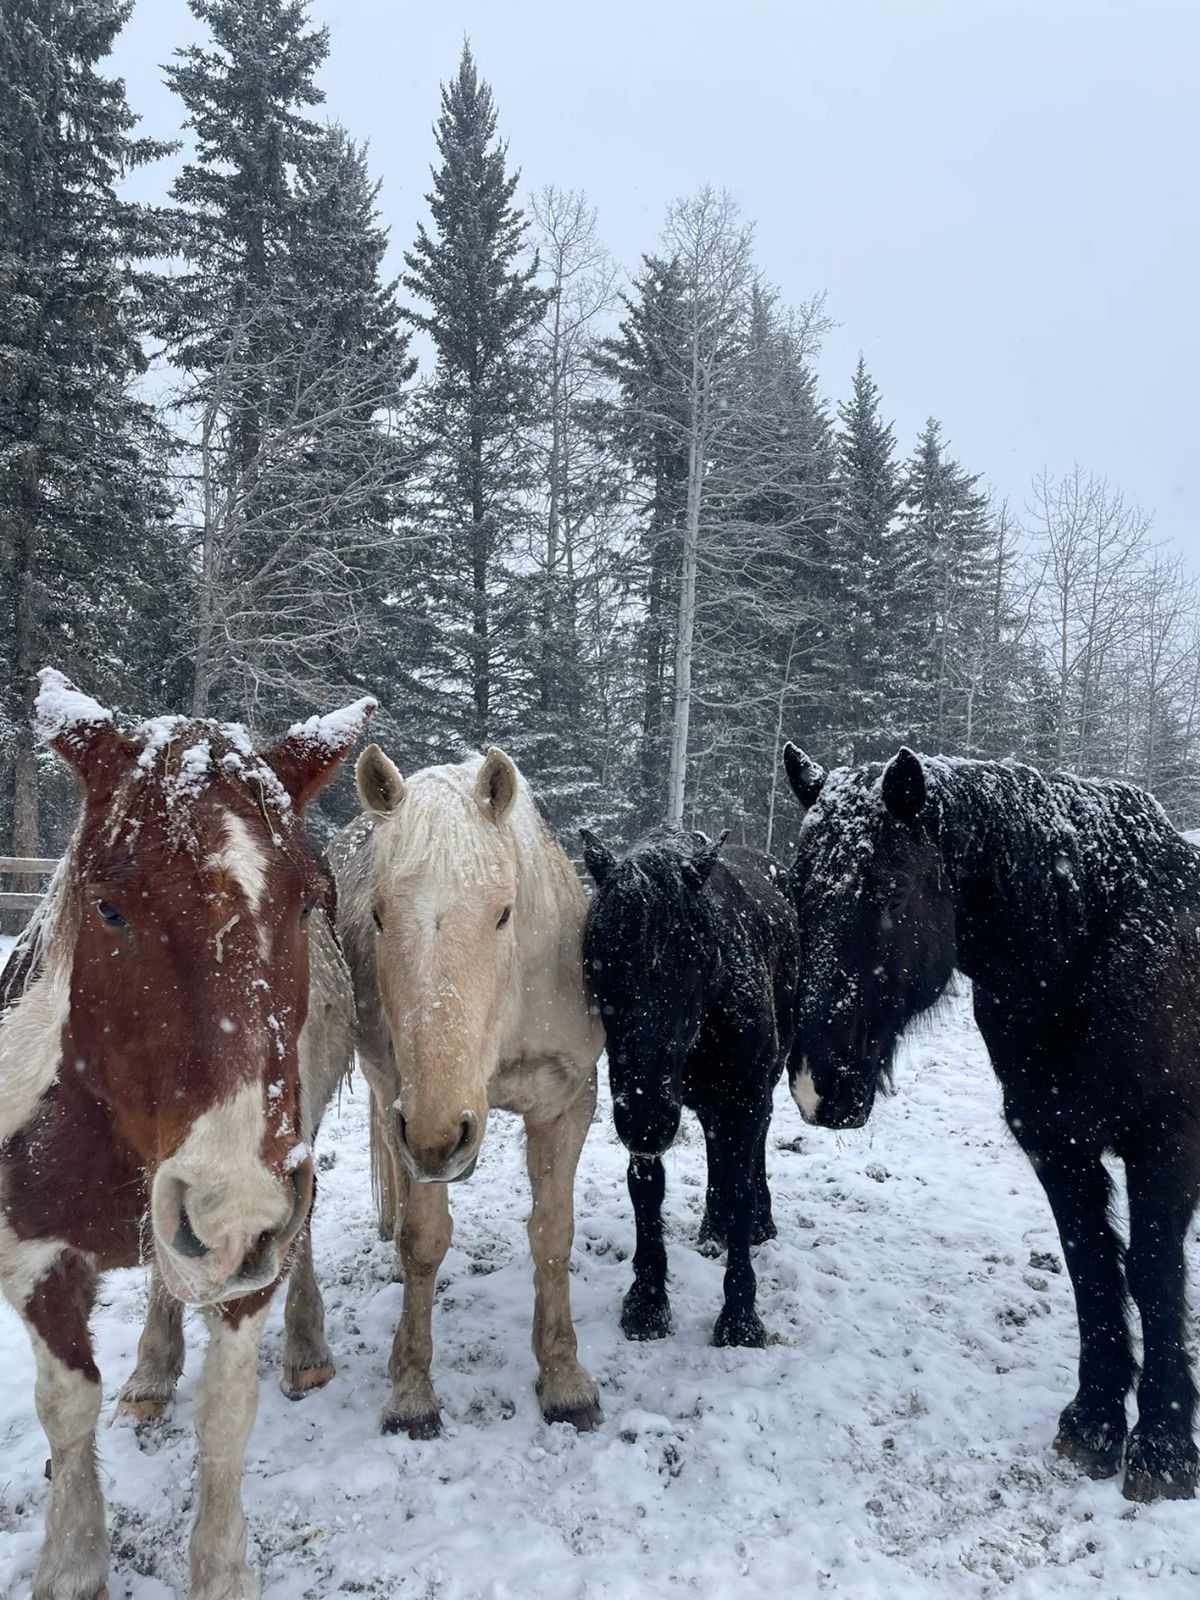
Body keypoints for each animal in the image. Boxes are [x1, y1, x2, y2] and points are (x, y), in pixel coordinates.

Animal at [0, 675, 371, 1600]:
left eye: (310, 900)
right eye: (109, 906)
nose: (230, 1207)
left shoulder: (263, 1228)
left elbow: (225, 1414)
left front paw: (220, 1569)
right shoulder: (31, 1259)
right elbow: (66, 1407)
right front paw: (72, 1562)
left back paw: (305, 1346)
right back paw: (150, 1369)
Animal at [334, 745, 604, 1440]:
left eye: (503, 911)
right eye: (378, 915)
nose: (440, 1136)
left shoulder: (566, 1105)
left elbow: (553, 1235)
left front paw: (564, 1380)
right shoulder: (416, 1114)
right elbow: (425, 1239)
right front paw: (411, 1390)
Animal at [582, 825, 800, 1350]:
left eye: (700, 957)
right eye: (596, 960)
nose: (647, 1124)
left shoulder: (744, 1097)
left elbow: (741, 1187)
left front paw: (740, 1318)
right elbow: (647, 1191)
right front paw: (647, 1303)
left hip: (758, 1089)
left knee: (752, 1150)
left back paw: (758, 1223)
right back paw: (712, 1225)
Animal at [784, 742, 1200, 1504]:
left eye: (886, 891)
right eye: (796, 891)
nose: (814, 1084)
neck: (1097, 940)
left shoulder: (1166, 1146)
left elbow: (1154, 1273)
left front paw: (1163, 1446)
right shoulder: (1058, 1146)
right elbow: (1091, 1266)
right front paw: (1094, 1422)